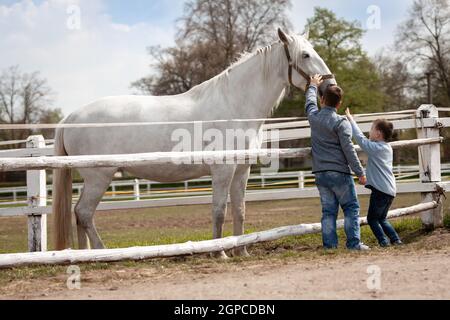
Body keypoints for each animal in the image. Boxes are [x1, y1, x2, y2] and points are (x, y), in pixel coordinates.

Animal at [53, 28, 334, 258]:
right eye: (306, 55)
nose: (331, 87)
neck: (235, 104)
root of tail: (70, 117)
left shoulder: (241, 170)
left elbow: (240, 210)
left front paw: (241, 250)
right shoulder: (222, 170)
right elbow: (219, 210)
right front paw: (218, 252)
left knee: (79, 214)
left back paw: (86, 255)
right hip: (99, 176)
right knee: (84, 213)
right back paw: (102, 252)